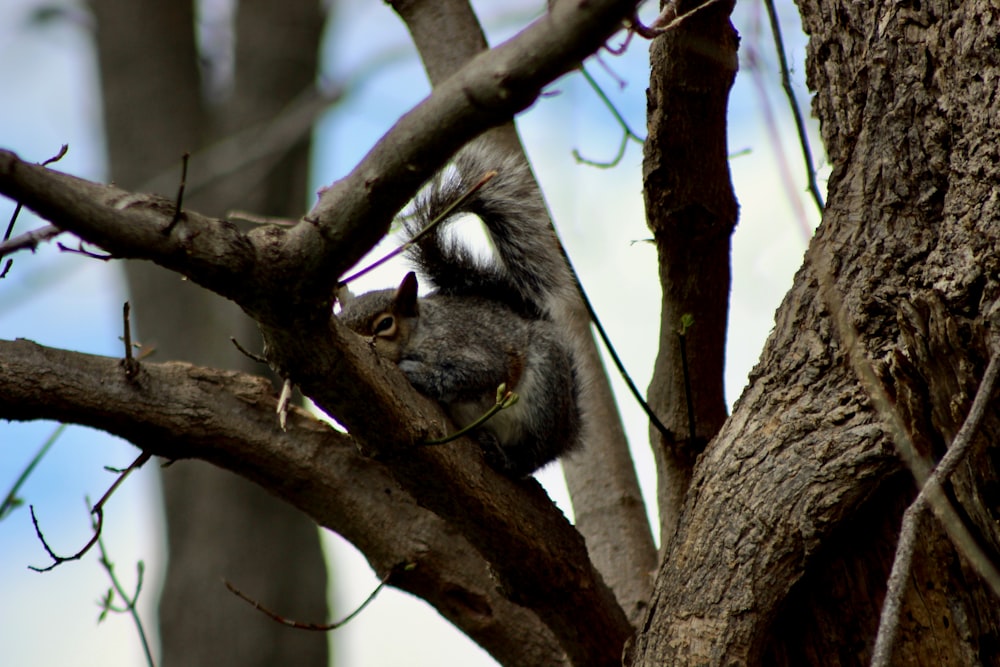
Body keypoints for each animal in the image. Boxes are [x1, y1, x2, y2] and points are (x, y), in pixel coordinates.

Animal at [340, 144, 584, 478]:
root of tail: (568, 431)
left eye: (385, 324)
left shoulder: (466, 347)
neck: (421, 332)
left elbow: (478, 372)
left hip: (544, 394)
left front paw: (417, 372)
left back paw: (509, 458)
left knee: (531, 457)